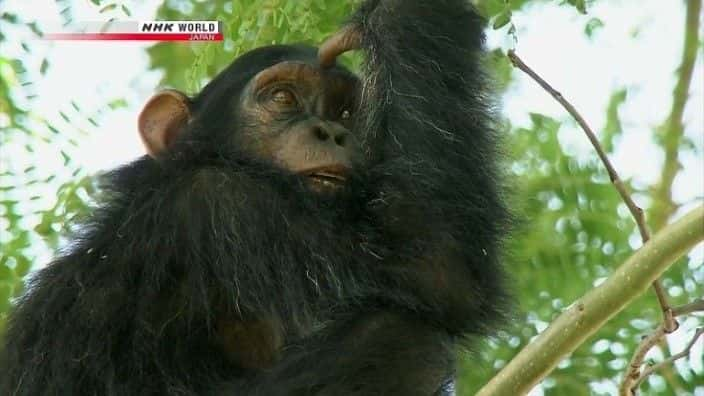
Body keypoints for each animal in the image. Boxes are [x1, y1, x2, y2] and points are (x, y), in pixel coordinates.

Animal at [0, 0, 506, 394]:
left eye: (345, 110)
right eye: (283, 98)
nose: (331, 131)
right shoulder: (227, 203)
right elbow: (435, 262)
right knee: (403, 342)